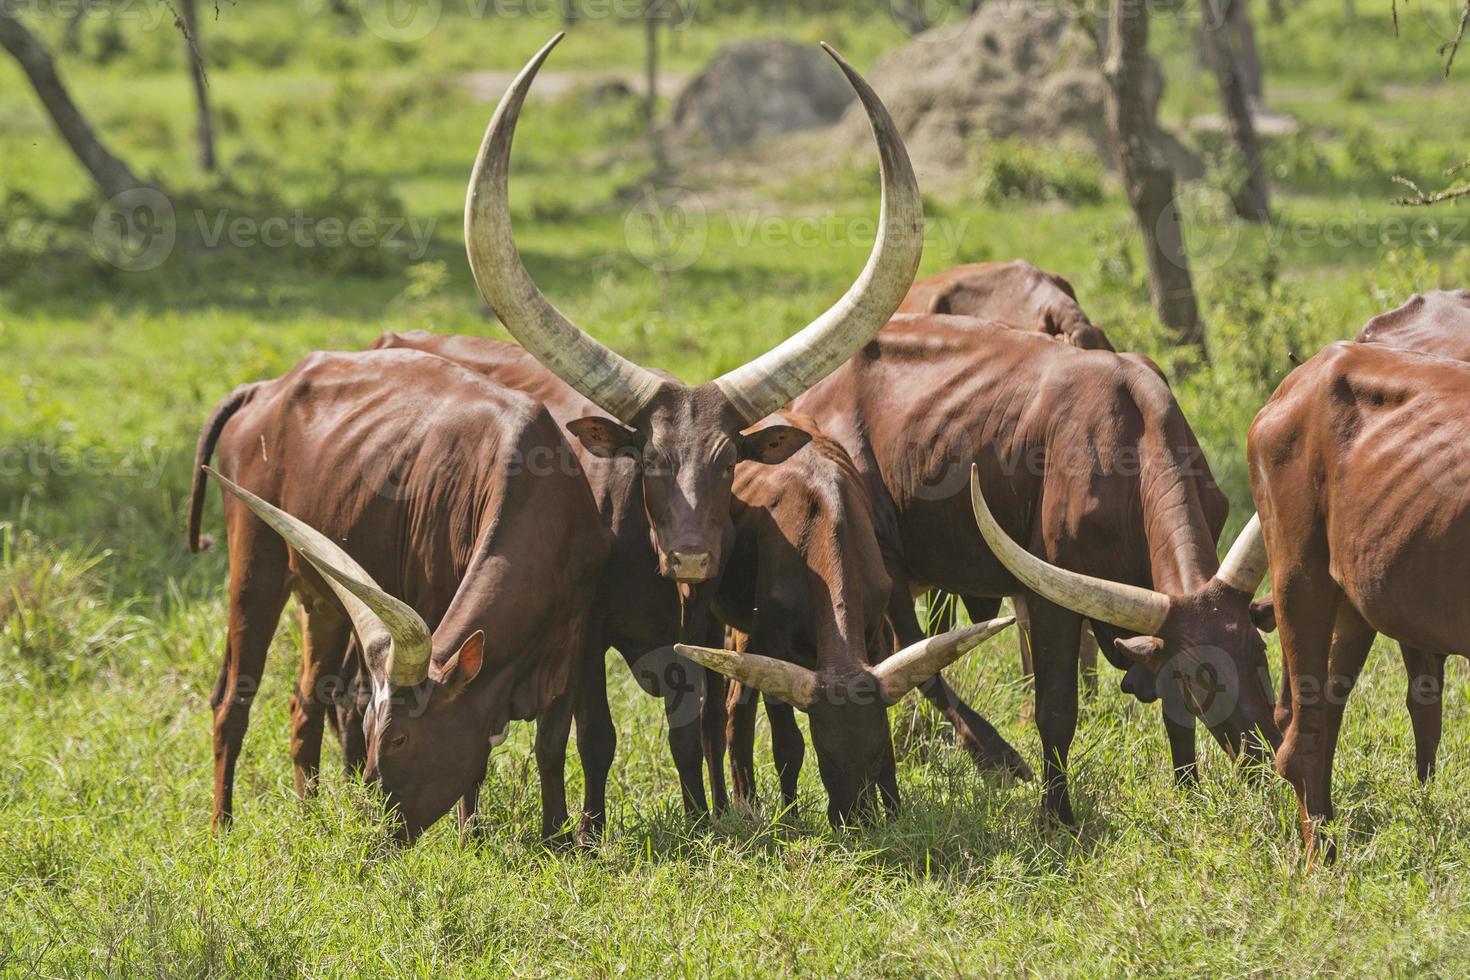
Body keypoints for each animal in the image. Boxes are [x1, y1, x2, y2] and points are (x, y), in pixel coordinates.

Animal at [186, 352, 605, 846]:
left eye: (400, 739)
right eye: (371, 730)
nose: (375, 829)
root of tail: (265, 388)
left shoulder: (572, 641)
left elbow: (551, 745)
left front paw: (557, 840)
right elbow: (479, 763)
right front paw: (470, 839)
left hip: (323, 605)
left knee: (304, 705)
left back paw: (309, 818)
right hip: (254, 572)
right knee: (233, 703)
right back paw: (221, 827)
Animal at [673, 414, 1017, 828]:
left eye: (871, 754)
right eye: (827, 756)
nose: (856, 819)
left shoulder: (875, 640)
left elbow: (889, 747)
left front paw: (895, 814)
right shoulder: (773, 645)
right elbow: (788, 744)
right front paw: (790, 821)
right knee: (721, 713)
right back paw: (736, 805)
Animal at [787, 314, 1281, 822]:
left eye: (1261, 657)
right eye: (1198, 680)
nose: (1264, 758)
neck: (1133, 444)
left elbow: (1171, 710)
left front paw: (1188, 791)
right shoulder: (1050, 602)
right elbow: (1057, 711)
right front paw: (1055, 816)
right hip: (883, 560)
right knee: (913, 653)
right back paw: (997, 756)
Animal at [1246, 343, 1470, 858]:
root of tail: (1298, 377)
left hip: (1351, 597)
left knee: (1325, 715)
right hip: (1298, 575)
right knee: (1299, 741)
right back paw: (1322, 862)